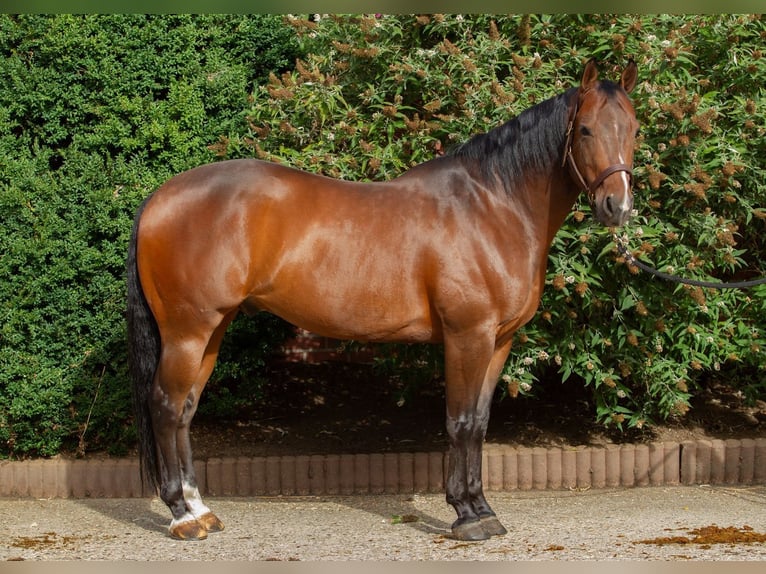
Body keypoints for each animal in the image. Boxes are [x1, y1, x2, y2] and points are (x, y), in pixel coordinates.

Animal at [126, 59, 639, 542]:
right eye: (586, 129)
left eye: (633, 128)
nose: (617, 206)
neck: (493, 205)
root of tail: (159, 197)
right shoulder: (467, 336)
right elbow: (460, 422)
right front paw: (466, 516)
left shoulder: (499, 341)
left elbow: (479, 422)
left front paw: (483, 509)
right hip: (187, 332)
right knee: (166, 407)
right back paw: (181, 517)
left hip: (212, 331)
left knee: (186, 410)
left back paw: (200, 510)